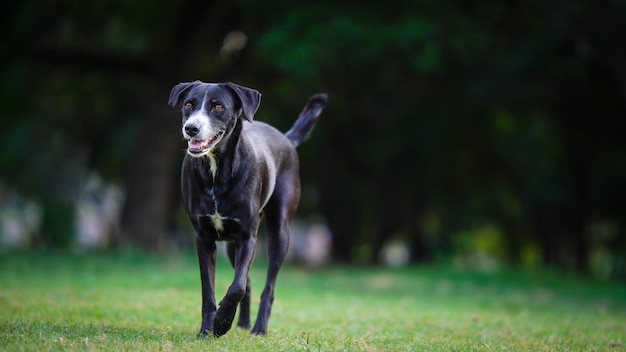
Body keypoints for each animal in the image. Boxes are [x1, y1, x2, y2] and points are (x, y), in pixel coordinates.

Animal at [168, 81, 326, 336]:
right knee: (248, 282)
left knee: (267, 288)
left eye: (218, 106)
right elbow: (209, 290)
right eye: (189, 104)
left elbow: (237, 287)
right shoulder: (203, 238)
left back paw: (258, 328)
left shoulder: (247, 237)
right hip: (232, 246)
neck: (216, 171)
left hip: (280, 232)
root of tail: (286, 138)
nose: (191, 128)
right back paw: (242, 323)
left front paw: (222, 322)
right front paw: (207, 329)